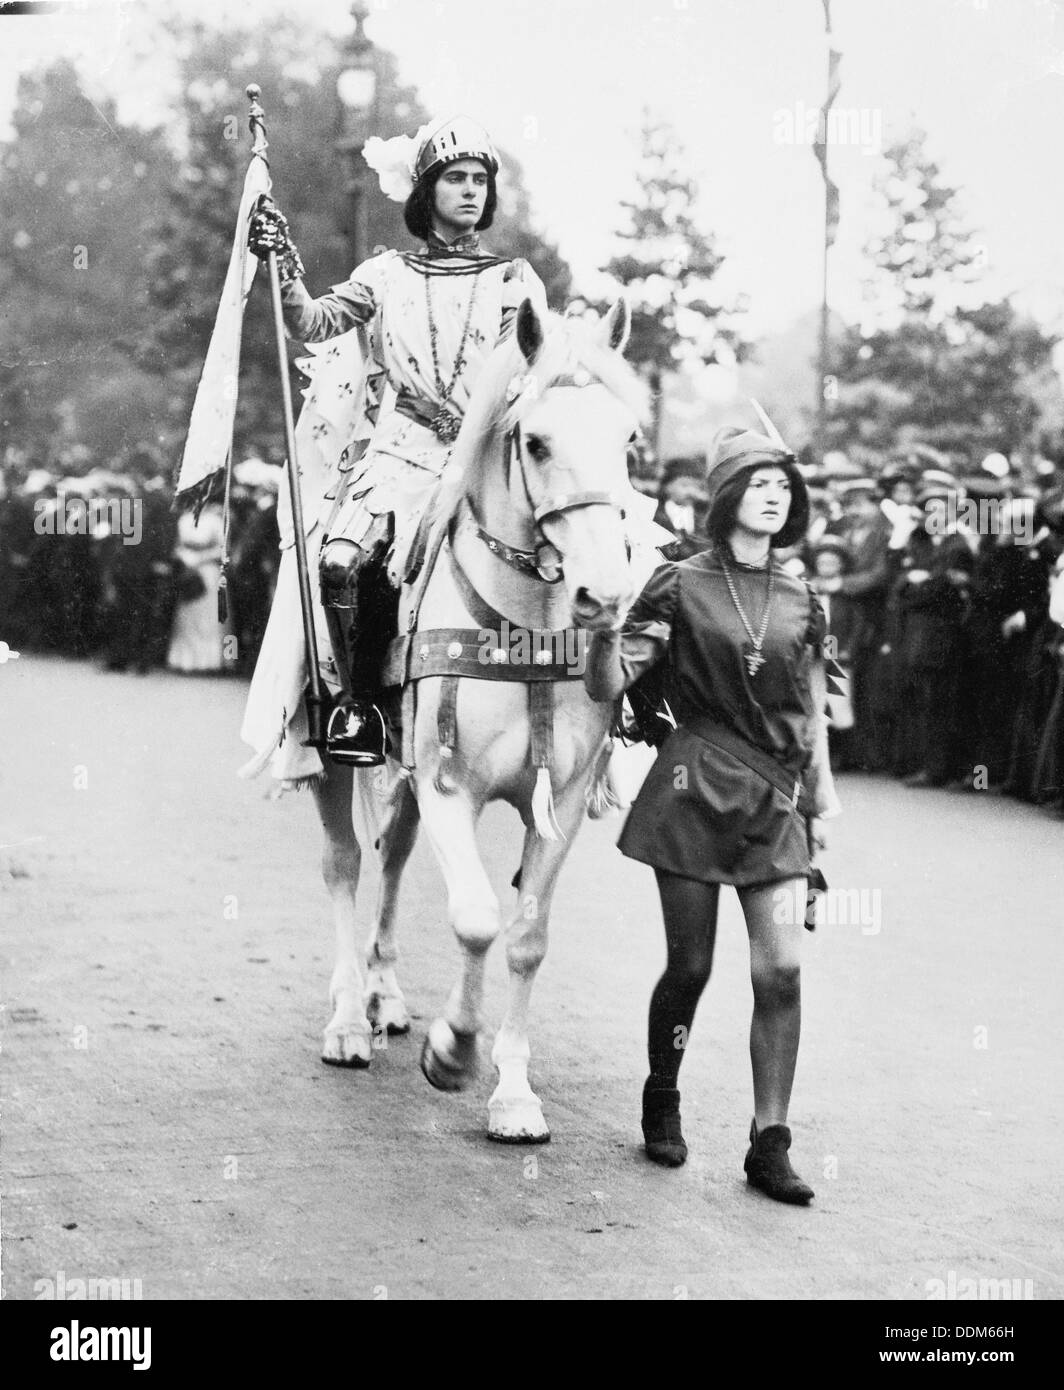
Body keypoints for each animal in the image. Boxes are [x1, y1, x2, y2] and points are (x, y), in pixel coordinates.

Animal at [303, 293, 642, 1139]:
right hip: (328, 752)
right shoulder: (449, 786)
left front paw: (514, 1093)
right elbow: (477, 918)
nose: (604, 595)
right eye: (537, 441)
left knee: (392, 857)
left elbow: (525, 938)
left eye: (628, 439)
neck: (521, 630)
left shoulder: (558, 805)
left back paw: (384, 997)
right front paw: (453, 1049)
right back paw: (348, 1018)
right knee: (345, 864)